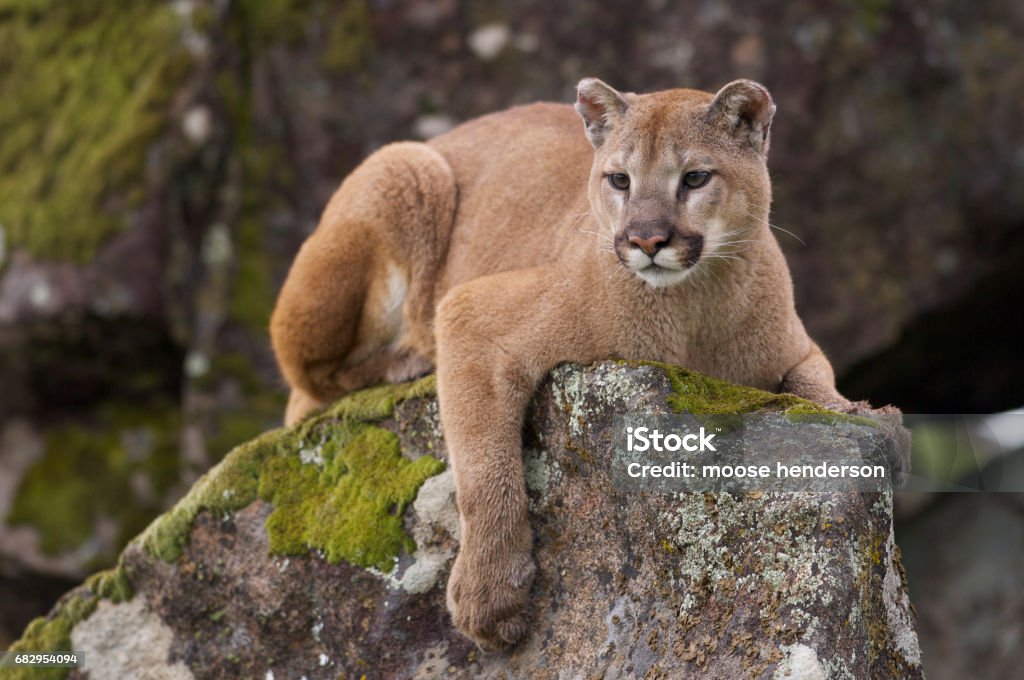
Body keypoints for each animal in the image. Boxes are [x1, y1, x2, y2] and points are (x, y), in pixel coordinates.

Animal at [268, 79, 909, 655]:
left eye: (694, 178)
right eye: (619, 179)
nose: (646, 240)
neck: (692, 309)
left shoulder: (798, 349)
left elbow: (815, 386)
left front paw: (871, 418)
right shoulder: (471, 314)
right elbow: (484, 468)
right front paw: (490, 597)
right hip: (405, 167)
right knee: (306, 383)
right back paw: (405, 360)